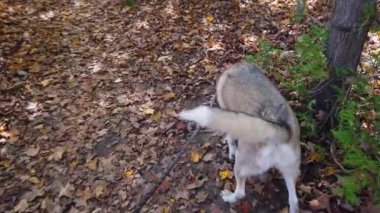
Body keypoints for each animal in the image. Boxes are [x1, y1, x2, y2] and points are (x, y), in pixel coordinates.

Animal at [177, 61, 300, 213]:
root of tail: (281, 130)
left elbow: (230, 139)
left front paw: (231, 151)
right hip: (289, 171)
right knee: (294, 200)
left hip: (240, 166)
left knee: (241, 192)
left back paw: (229, 197)